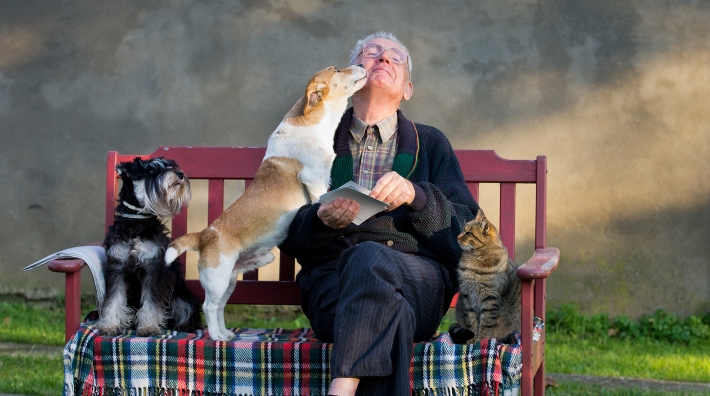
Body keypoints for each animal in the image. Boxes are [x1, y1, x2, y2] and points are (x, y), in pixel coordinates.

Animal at [97, 156, 203, 336]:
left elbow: (151, 302)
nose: (180, 174)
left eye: (171, 166)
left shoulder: (153, 269)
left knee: (187, 310)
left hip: (181, 298)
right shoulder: (117, 268)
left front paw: (148, 327)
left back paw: (184, 325)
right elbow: (114, 299)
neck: (135, 222)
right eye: (152, 170)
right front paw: (110, 325)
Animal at [165, 65, 368, 340]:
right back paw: (216, 336)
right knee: (209, 306)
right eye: (337, 69)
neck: (313, 124)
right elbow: (319, 201)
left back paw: (226, 334)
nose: (362, 66)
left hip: (230, 281)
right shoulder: (314, 180)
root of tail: (203, 234)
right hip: (217, 280)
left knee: (220, 308)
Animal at [450, 209, 524, 344]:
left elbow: (486, 323)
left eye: (468, 233)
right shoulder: (467, 296)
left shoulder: (490, 298)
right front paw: (473, 338)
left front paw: (481, 339)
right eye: (463, 230)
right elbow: (471, 321)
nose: (457, 236)